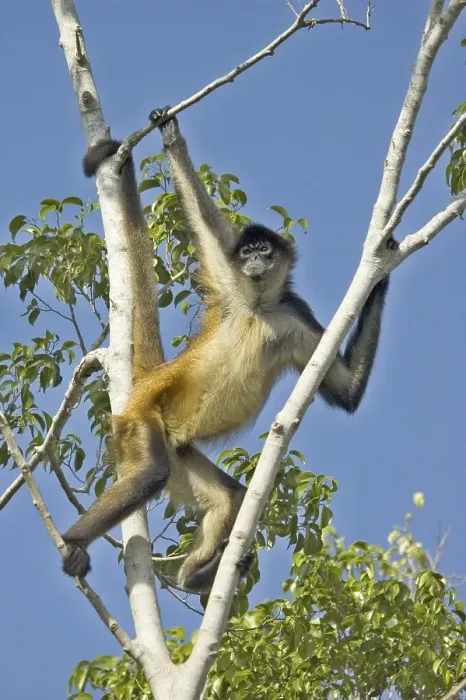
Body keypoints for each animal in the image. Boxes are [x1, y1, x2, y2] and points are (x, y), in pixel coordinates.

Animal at [61, 108, 390, 595]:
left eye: (266, 252)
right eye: (248, 250)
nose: (253, 260)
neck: (257, 307)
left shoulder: (294, 315)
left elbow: (347, 391)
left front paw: (383, 267)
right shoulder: (229, 281)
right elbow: (202, 218)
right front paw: (170, 135)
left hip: (178, 449)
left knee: (227, 497)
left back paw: (195, 575)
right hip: (142, 423)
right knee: (151, 473)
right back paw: (73, 542)